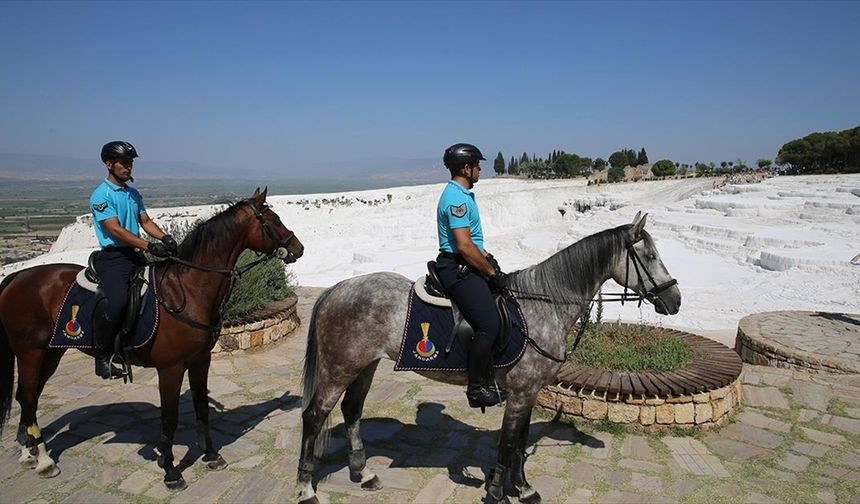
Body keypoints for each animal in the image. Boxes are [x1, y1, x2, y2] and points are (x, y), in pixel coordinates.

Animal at [0, 187, 302, 490]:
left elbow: (201, 407)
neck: (187, 290)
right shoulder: (171, 369)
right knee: (28, 396)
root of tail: (17, 277)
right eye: (274, 220)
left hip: (51, 352)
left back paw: (29, 452)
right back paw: (44, 460)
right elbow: (169, 417)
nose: (298, 248)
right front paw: (170, 469)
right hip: (30, 352)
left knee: (28, 397)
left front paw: (210, 454)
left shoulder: (200, 360)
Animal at [298, 211, 680, 502]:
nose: (674, 299)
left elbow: (520, 443)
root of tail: (336, 289)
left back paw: (363, 474)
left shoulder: (529, 392)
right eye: (649, 257)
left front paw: (521, 488)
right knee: (315, 416)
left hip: (364, 365)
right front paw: (498, 489)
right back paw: (306, 488)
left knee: (352, 411)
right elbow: (508, 443)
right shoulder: (521, 392)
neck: (542, 305)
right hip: (339, 369)